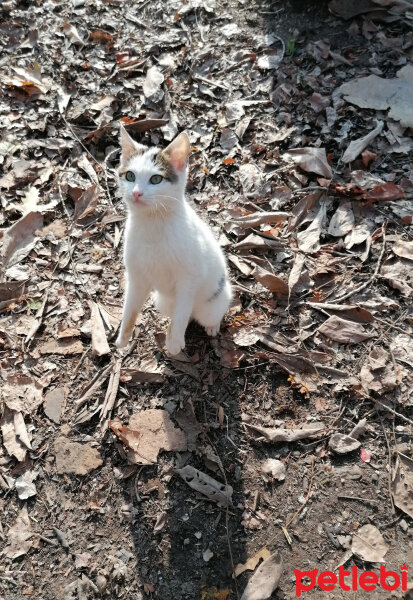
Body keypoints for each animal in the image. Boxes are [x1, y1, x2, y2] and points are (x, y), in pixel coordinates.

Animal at [114, 124, 232, 354]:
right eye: (130, 176)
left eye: (156, 179)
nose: (136, 193)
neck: (153, 224)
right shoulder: (137, 278)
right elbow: (129, 309)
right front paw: (123, 337)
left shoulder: (188, 279)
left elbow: (181, 313)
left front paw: (175, 342)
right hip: (162, 301)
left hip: (213, 303)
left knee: (197, 313)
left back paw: (210, 327)